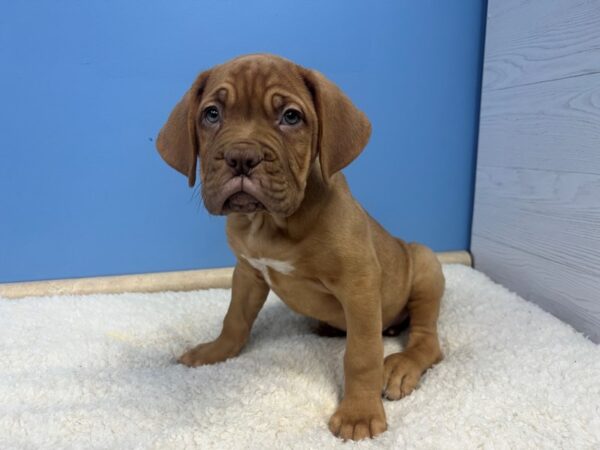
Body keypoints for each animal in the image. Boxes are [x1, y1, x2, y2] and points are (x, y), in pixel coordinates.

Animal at [157, 52, 442, 440]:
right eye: (212, 114)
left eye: (291, 117)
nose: (242, 157)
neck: (271, 223)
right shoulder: (248, 272)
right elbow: (234, 320)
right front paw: (215, 352)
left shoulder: (359, 284)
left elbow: (362, 355)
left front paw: (359, 413)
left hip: (426, 263)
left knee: (428, 340)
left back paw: (401, 366)